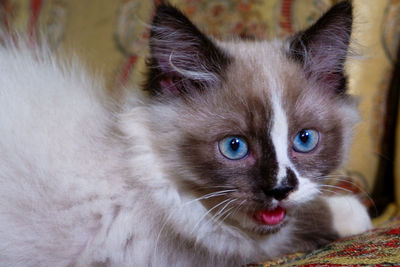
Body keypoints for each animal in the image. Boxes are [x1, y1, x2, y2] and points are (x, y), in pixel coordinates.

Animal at [0, 1, 372, 266]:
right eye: (234, 147)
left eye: (304, 140)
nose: (280, 189)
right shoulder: (192, 248)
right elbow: (291, 229)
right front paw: (356, 214)